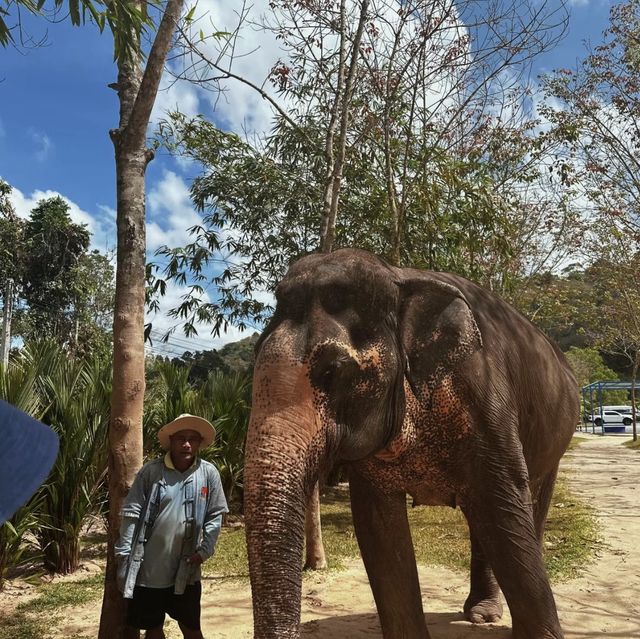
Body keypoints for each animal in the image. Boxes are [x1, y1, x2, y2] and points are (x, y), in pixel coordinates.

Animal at [242, 249, 576, 639]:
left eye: (332, 370)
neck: (398, 276)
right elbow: (379, 529)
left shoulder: (484, 397)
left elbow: (504, 509)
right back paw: (480, 613)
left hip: (554, 441)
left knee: (527, 507)